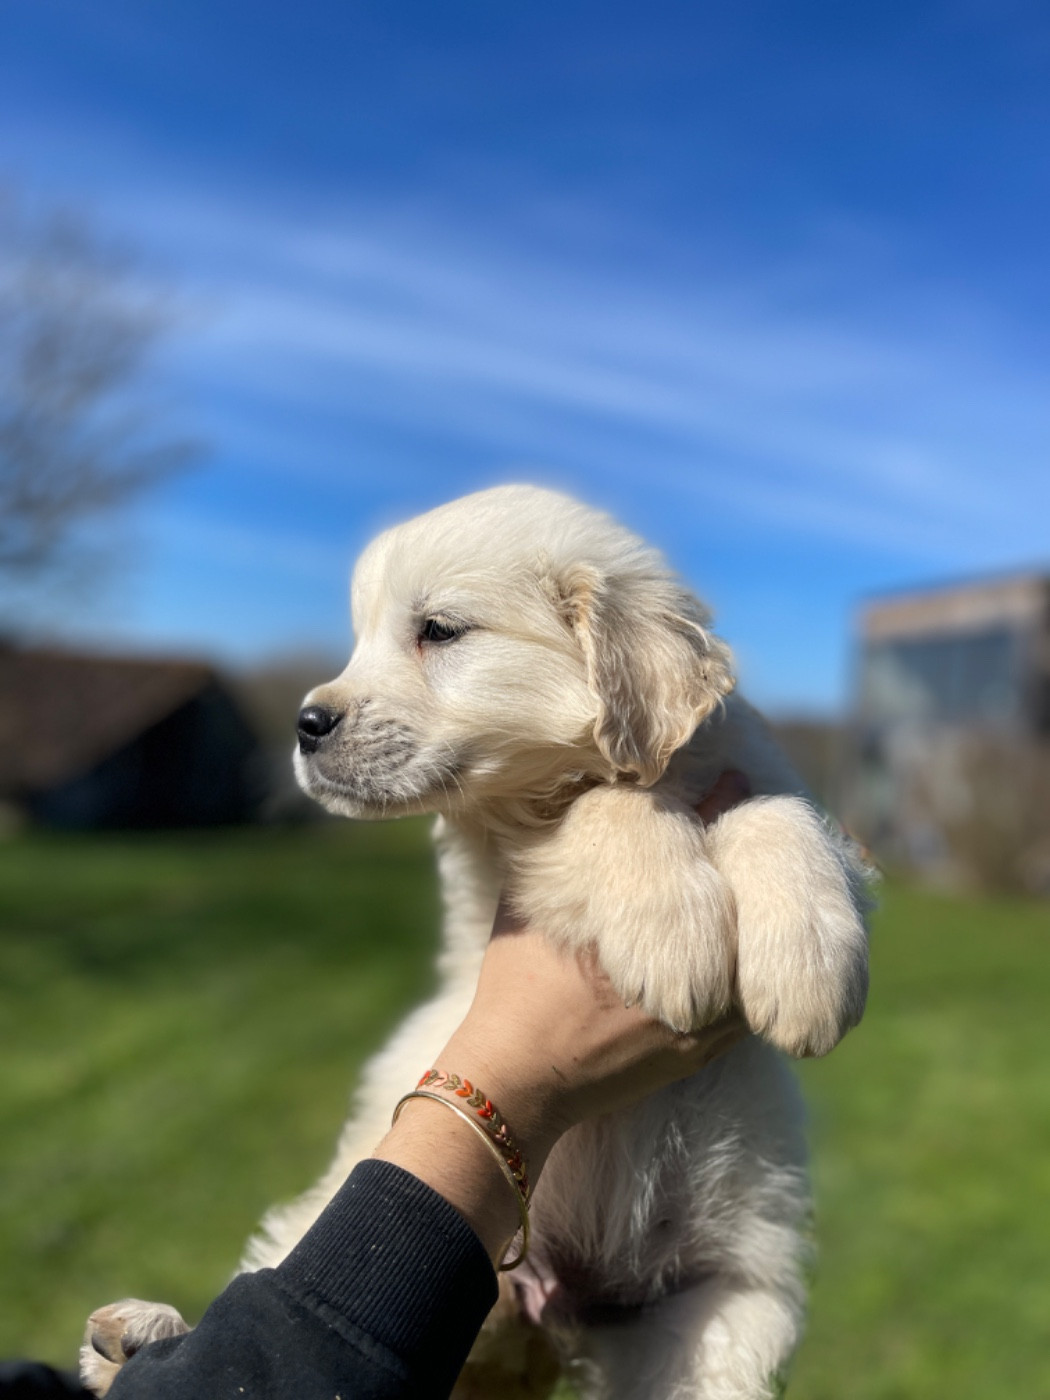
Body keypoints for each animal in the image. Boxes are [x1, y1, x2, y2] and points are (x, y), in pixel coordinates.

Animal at [82, 485, 871, 1399]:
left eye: (439, 630)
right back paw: (133, 1340)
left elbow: (773, 811)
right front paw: (675, 929)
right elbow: (603, 810)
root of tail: (551, 1314)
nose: (306, 723)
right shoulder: (505, 863)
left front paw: (811, 967)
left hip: (724, 1315)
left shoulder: (773, 793)